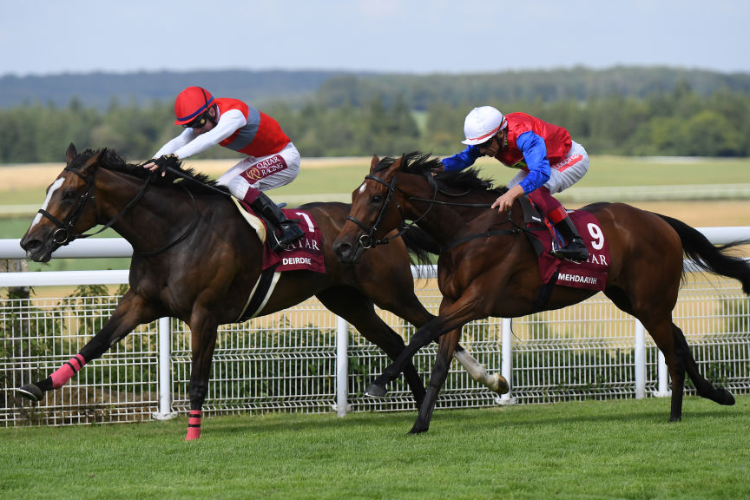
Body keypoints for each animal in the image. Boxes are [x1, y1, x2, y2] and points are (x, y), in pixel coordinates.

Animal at [17, 144, 508, 438]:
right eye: (51, 188)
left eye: (71, 193)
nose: (30, 242)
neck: (172, 233)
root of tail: (382, 227)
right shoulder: (141, 302)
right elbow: (96, 343)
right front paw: (35, 388)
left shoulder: (205, 312)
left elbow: (198, 379)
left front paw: (193, 431)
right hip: (348, 301)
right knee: (394, 339)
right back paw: (412, 399)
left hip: (390, 292)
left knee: (433, 325)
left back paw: (490, 381)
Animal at [334, 151, 750, 434]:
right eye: (354, 195)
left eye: (375, 198)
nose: (341, 247)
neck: (471, 228)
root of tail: (658, 219)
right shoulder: (455, 301)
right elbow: (440, 361)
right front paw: (419, 424)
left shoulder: (478, 300)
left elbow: (422, 332)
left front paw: (379, 383)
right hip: (634, 300)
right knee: (679, 339)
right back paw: (718, 394)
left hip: (651, 302)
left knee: (673, 351)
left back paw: (676, 414)